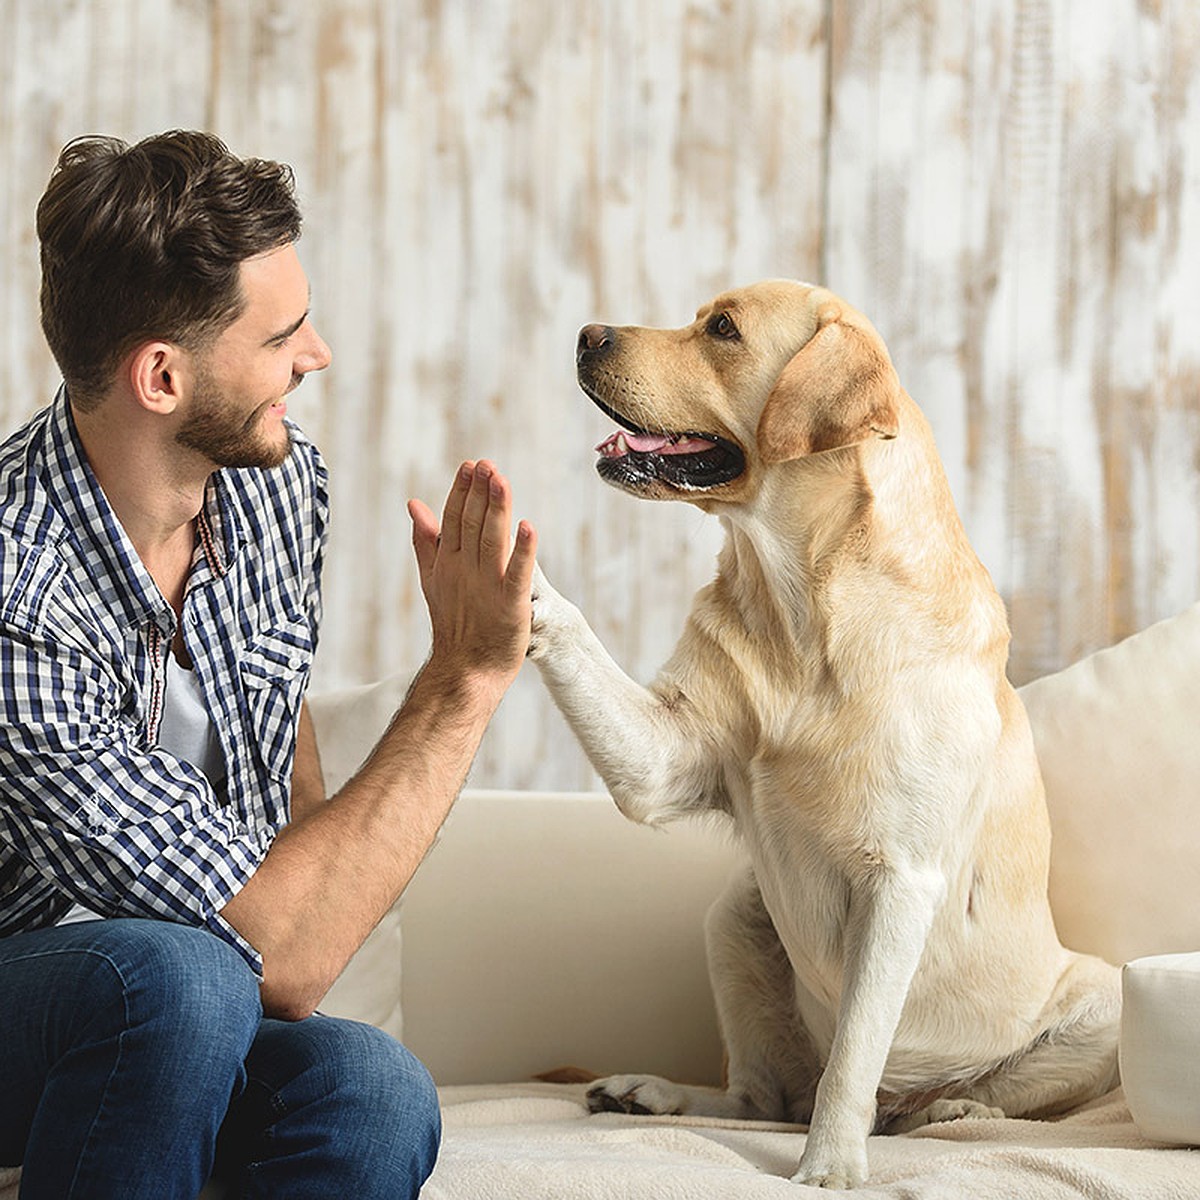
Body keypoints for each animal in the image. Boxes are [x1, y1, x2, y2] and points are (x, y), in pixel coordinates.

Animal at [530, 283, 1118, 1190]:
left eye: (723, 329)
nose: (588, 333)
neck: (803, 605)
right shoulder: (663, 759)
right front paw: (506, 570)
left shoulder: (900, 882)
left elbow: (854, 1055)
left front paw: (831, 1166)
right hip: (735, 917)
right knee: (761, 1097)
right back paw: (651, 1093)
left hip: (1101, 1004)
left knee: (936, 1096)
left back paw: (945, 1108)